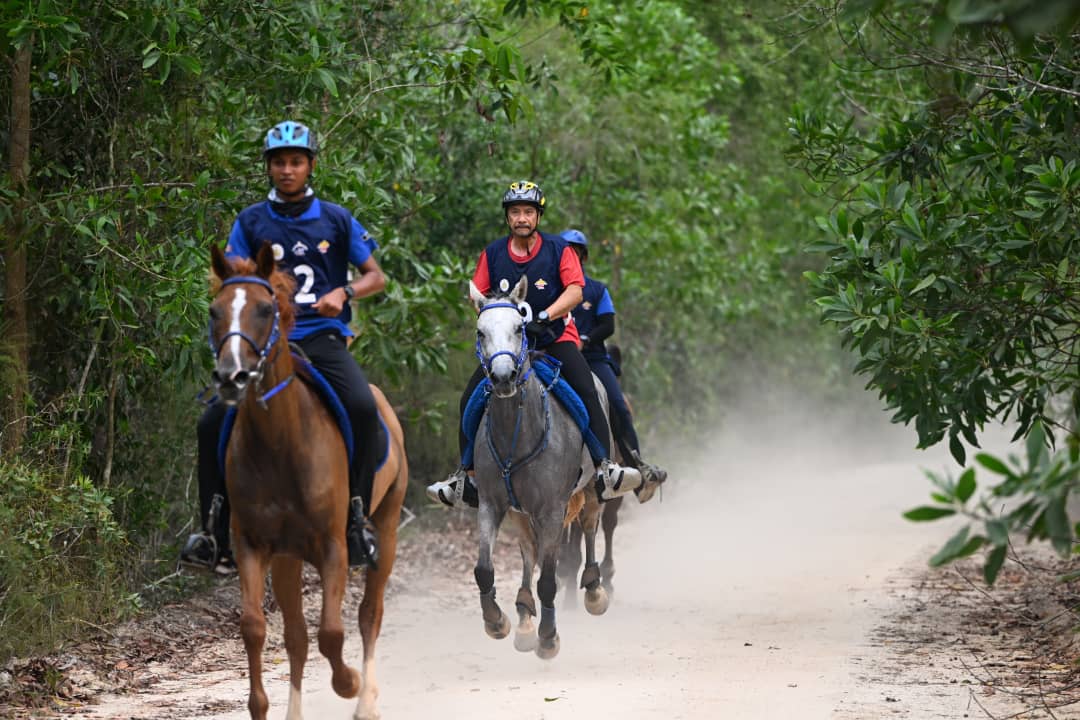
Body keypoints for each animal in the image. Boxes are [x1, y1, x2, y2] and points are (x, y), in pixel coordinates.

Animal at [208, 246, 406, 720]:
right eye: (214, 311)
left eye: (265, 310)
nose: (231, 377)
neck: (279, 443)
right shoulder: (253, 545)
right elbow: (255, 627)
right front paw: (260, 707)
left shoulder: (334, 546)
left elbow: (332, 632)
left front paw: (349, 683)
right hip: (287, 557)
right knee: (296, 635)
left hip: (387, 529)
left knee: (369, 614)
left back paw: (366, 700)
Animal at [468, 276, 613, 660]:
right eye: (480, 332)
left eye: (520, 327)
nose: (503, 376)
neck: (515, 433)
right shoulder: (492, 503)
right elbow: (484, 569)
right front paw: (497, 622)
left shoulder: (551, 509)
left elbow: (548, 578)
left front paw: (548, 639)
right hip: (520, 511)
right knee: (528, 551)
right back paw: (522, 618)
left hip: (590, 489)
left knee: (590, 527)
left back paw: (594, 590)